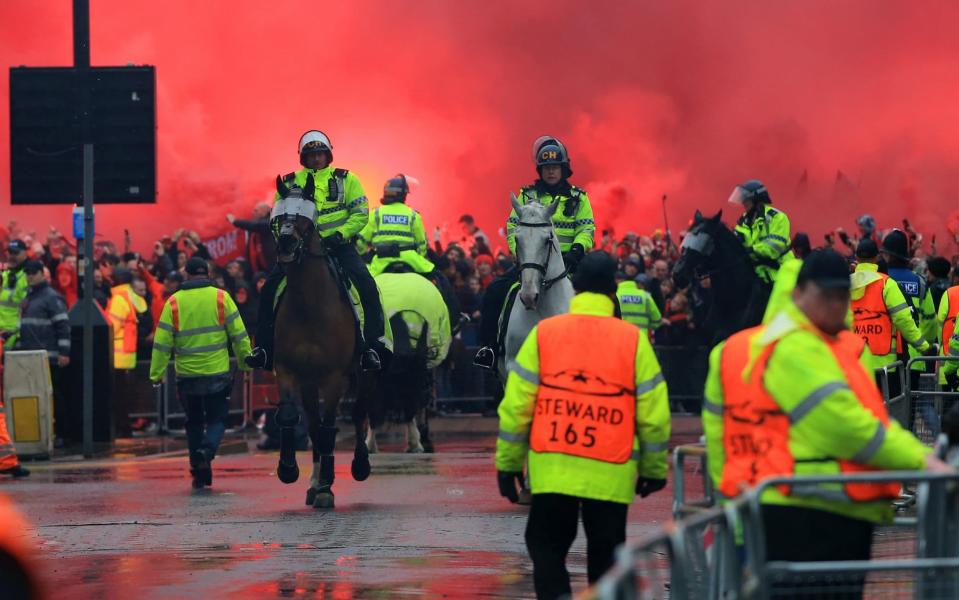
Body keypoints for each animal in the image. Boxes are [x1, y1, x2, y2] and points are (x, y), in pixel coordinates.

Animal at [274, 176, 376, 508]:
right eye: (279, 215)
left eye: (306, 217)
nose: (286, 242)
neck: (310, 305)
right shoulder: (288, 370)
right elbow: (296, 418)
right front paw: (289, 469)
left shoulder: (335, 377)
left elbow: (331, 427)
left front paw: (327, 487)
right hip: (310, 381)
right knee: (315, 424)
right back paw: (313, 480)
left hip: (363, 374)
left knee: (358, 413)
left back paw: (359, 465)